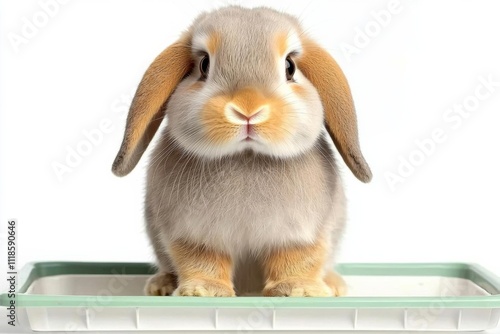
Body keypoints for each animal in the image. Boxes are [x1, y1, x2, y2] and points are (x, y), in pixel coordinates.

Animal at [113, 5, 372, 298]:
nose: (248, 109)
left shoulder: (302, 234)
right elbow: (201, 261)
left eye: (290, 66)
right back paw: (162, 285)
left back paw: (333, 285)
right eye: (204, 64)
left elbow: (297, 259)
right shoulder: (192, 235)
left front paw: (299, 290)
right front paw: (203, 291)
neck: (246, 157)